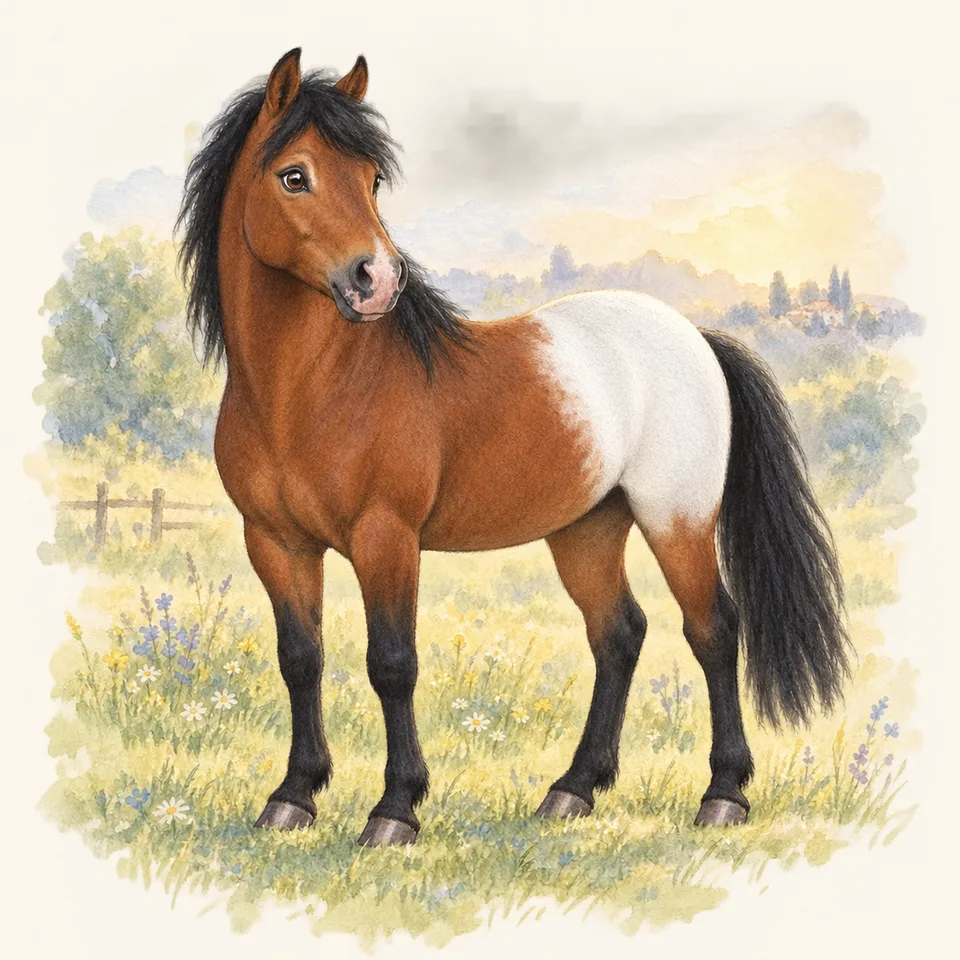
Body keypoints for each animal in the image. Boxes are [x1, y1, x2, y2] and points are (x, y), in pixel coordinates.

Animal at [177, 48, 849, 847]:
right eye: (294, 175)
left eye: (372, 179)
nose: (377, 280)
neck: (309, 390)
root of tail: (697, 339)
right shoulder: (275, 541)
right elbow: (301, 659)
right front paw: (293, 797)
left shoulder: (385, 537)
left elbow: (391, 663)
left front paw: (395, 810)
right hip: (588, 528)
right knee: (619, 634)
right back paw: (573, 790)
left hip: (675, 521)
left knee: (713, 630)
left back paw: (722, 795)